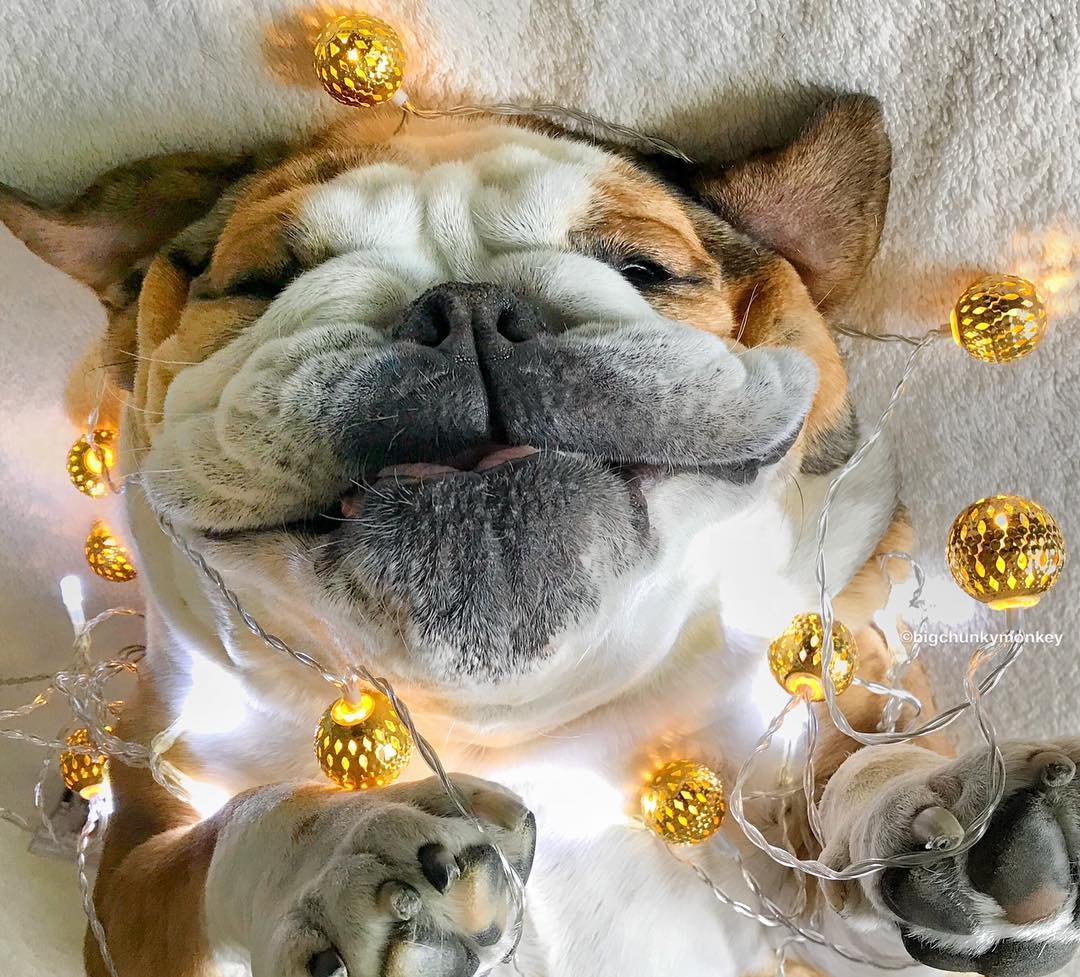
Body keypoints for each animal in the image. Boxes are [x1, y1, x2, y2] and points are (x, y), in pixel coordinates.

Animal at [4, 95, 1080, 977]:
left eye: (642, 268)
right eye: (264, 280)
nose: (467, 305)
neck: (526, 714)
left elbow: (850, 776)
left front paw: (952, 816)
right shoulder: (131, 870)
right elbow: (222, 834)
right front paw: (345, 854)